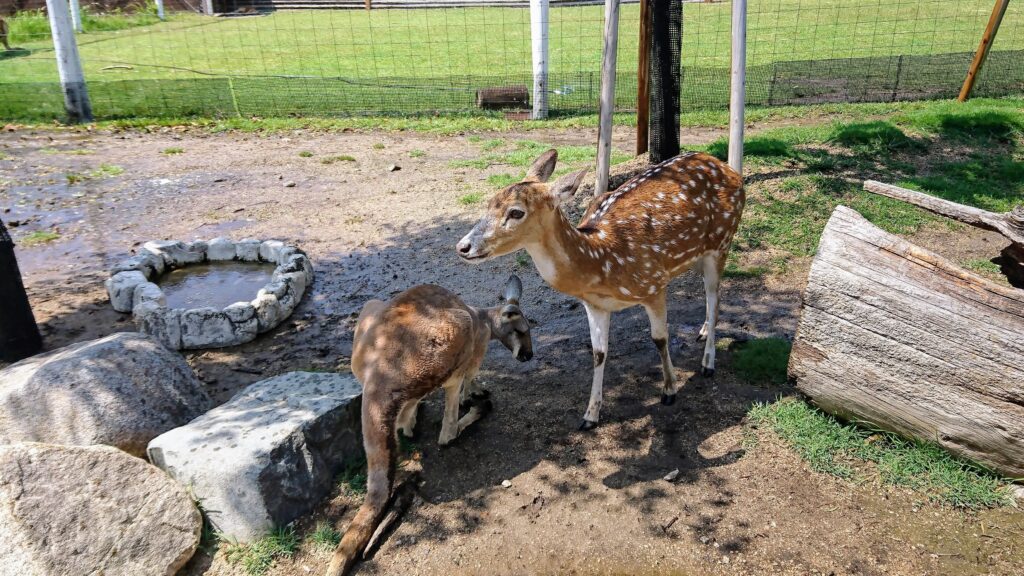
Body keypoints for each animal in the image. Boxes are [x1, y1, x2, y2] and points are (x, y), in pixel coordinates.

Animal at [327, 276, 536, 569]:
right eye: (520, 331)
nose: (529, 356)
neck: (486, 318)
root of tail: (378, 378)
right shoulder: (477, 345)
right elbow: (471, 377)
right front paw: (475, 393)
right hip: (452, 338)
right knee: (447, 432)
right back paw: (471, 409)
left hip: (371, 313)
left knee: (409, 417)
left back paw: (410, 420)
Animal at [456, 147, 745, 426]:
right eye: (489, 204)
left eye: (516, 212)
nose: (463, 247)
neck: (602, 262)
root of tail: (727, 168)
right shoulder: (595, 304)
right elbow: (598, 353)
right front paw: (590, 415)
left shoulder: (654, 284)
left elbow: (660, 339)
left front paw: (670, 390)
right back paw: (704, 332)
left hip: (722, 241)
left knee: (715, 297)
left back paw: (708, 363)